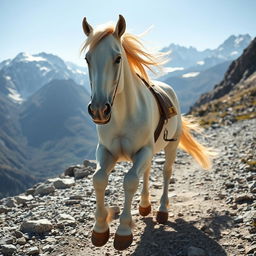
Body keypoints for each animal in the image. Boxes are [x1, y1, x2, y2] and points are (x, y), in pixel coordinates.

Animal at [81, 14, 211, 250]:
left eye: (118, 58)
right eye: (87, 59)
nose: (99, 110)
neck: (123, 116)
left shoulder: (143, 151)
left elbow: (130, 180)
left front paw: (123, 230)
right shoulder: (106, 151)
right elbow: (99, 179)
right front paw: (100, 229)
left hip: (170, 146)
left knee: (166, 173)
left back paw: (161, 210)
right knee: (148, 172)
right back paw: (144, 205)